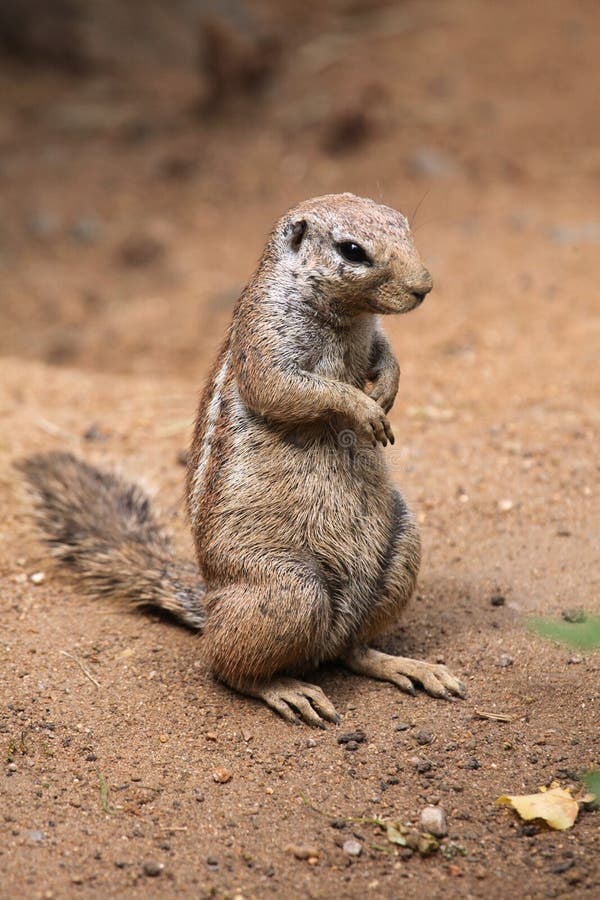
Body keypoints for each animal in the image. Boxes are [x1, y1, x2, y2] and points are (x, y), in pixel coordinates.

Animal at [17, 195, 464, 724]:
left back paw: (407, 666)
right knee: (227, 667)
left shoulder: (370, 337)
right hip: (288, 589)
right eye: (352, 250)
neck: (345, 316)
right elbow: (290, 388)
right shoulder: (265, 340)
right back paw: (288, 690)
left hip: (401, 550)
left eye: (403, 223)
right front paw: (365, 409)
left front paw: (388, 390)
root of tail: (210, 602)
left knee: (352, 651)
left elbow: (387, 354)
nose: (424, 287)